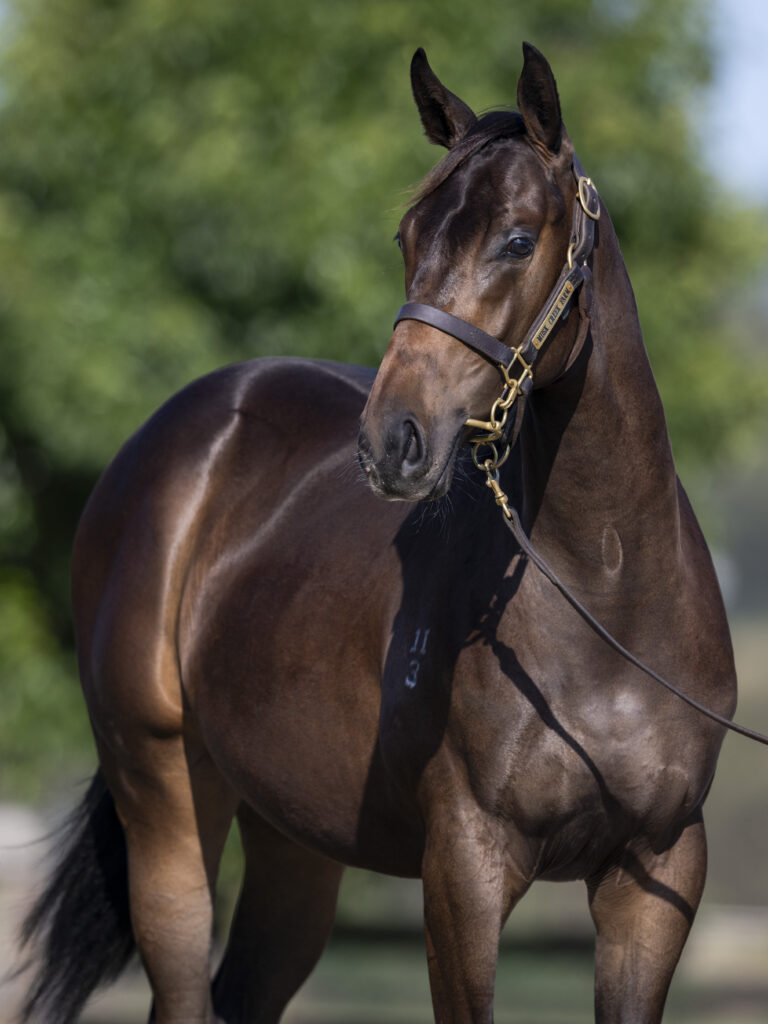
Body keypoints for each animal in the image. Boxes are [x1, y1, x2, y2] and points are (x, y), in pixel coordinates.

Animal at [20, 41, 737, 1024]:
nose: (392, 439)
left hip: (293, 836)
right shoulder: (464, 867)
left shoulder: (658, 873)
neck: (609, 598)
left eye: (518, 239)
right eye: (407, 238)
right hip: (165, 804)